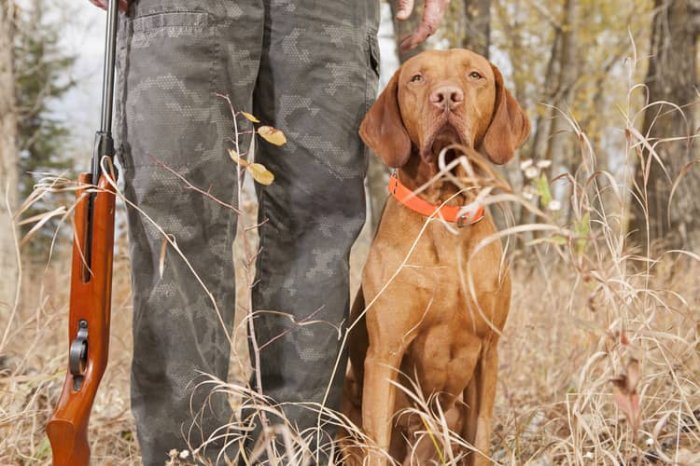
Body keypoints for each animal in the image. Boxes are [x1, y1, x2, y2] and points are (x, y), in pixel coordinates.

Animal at [340, 49, 532, 464]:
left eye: (475, 75)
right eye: (417, 78)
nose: (446, 97)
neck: (446, 208)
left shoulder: (488, 353)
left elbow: (480, 441)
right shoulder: (385, 352)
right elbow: (377, 443)